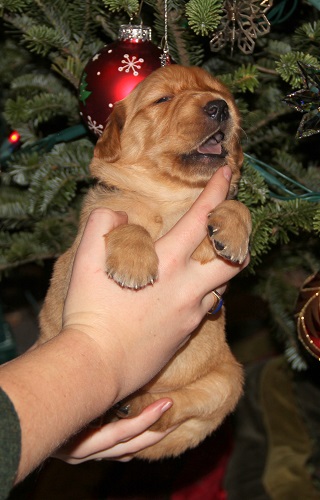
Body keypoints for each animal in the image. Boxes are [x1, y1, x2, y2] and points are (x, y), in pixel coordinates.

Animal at [38, 65, 251, 460]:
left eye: (224, 95)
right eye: (162, 99)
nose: (219, 107)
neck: (168, 198)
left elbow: (236, 203)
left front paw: (231, 231)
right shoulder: (80, 246)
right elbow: (130, 223)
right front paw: (135, 262)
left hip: (228, 381)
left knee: (169, 410)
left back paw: (133, 406)